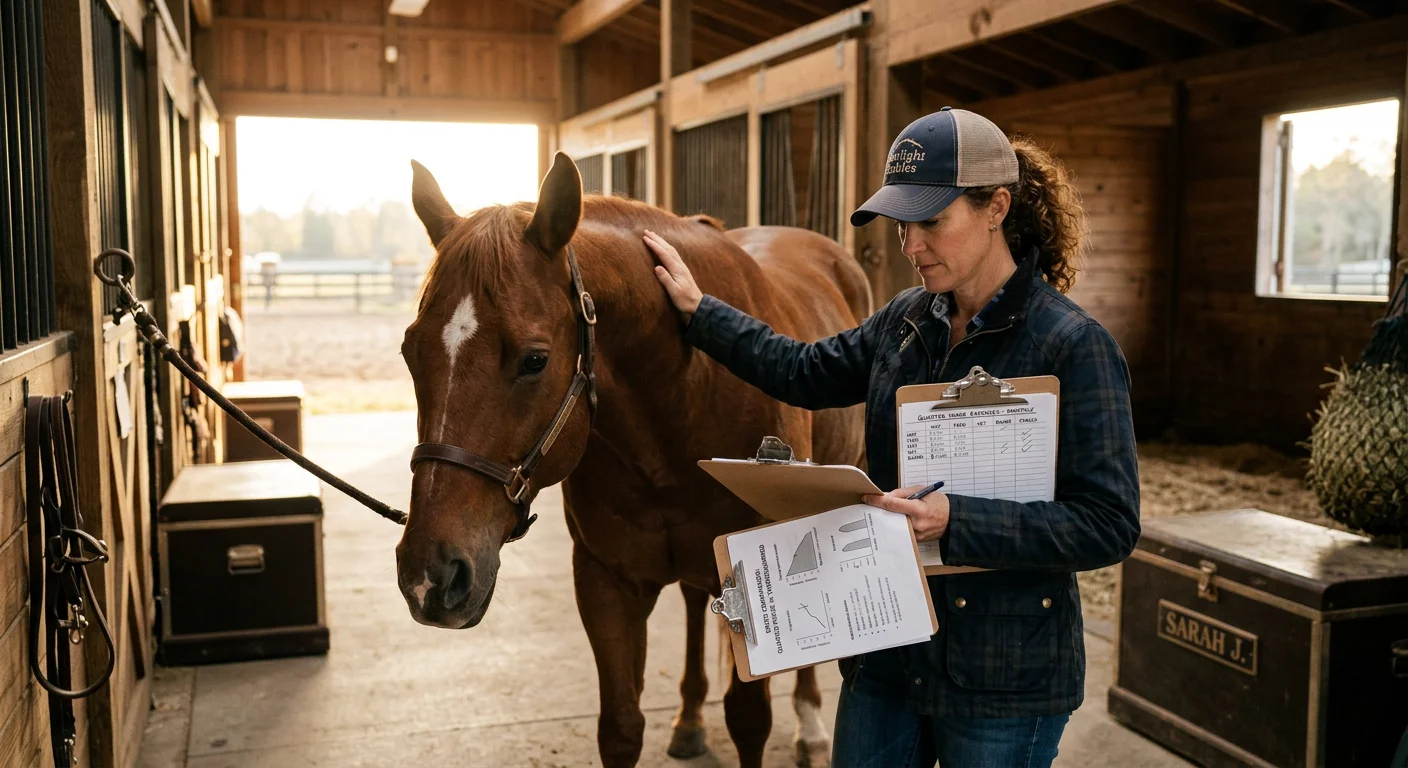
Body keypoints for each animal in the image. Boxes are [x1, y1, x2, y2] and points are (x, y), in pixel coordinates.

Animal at [394, 152, 869, 768]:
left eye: (534, 360)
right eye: (410, 351)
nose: (430, 576)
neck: (687, 393)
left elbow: (748, 721)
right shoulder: (607, 583)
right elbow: (620, 727)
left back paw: (811, 725)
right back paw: (689, 720)